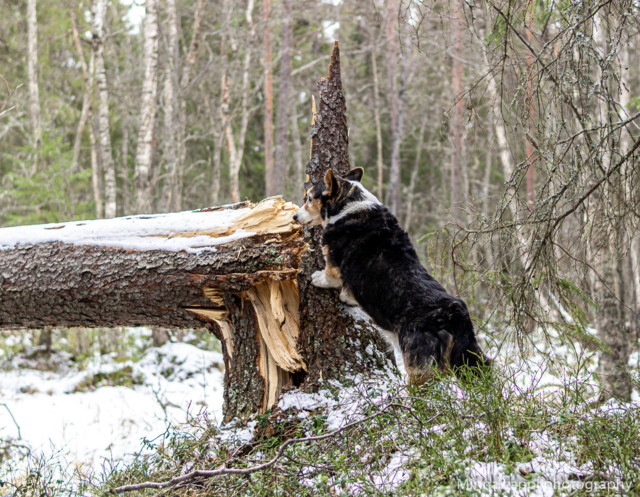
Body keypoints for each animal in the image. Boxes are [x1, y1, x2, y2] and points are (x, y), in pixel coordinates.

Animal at [292, 169, 492, 382]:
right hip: (469, 357)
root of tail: (455, 313)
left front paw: (318, 279)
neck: (348, 206)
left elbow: (329, 277)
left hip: (419, 365)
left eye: (309, 198)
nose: (295, 217)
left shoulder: (334, 264)